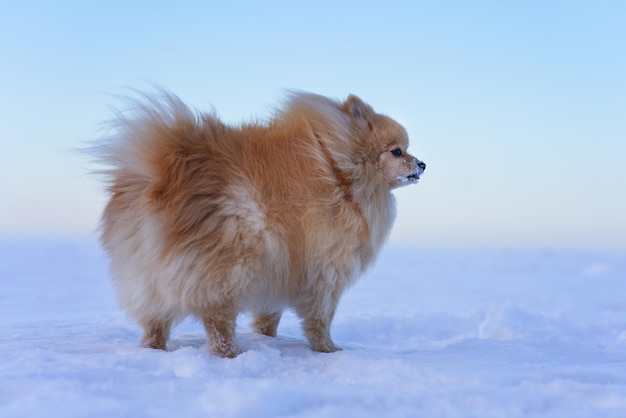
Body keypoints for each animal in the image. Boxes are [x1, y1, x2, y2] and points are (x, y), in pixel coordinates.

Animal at [94, 90, 424, 358]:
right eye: (397, 151)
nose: (422, 164)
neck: (342, 173)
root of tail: (163, 171)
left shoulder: (282, 267)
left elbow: (269, 314)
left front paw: (268, 337)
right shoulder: (325, 270)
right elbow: (320, 319)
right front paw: (328, 349)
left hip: (149, 276)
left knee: (155, 321)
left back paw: (154, 349)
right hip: (233, 263)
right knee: (217, 320)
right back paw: (230, 352)